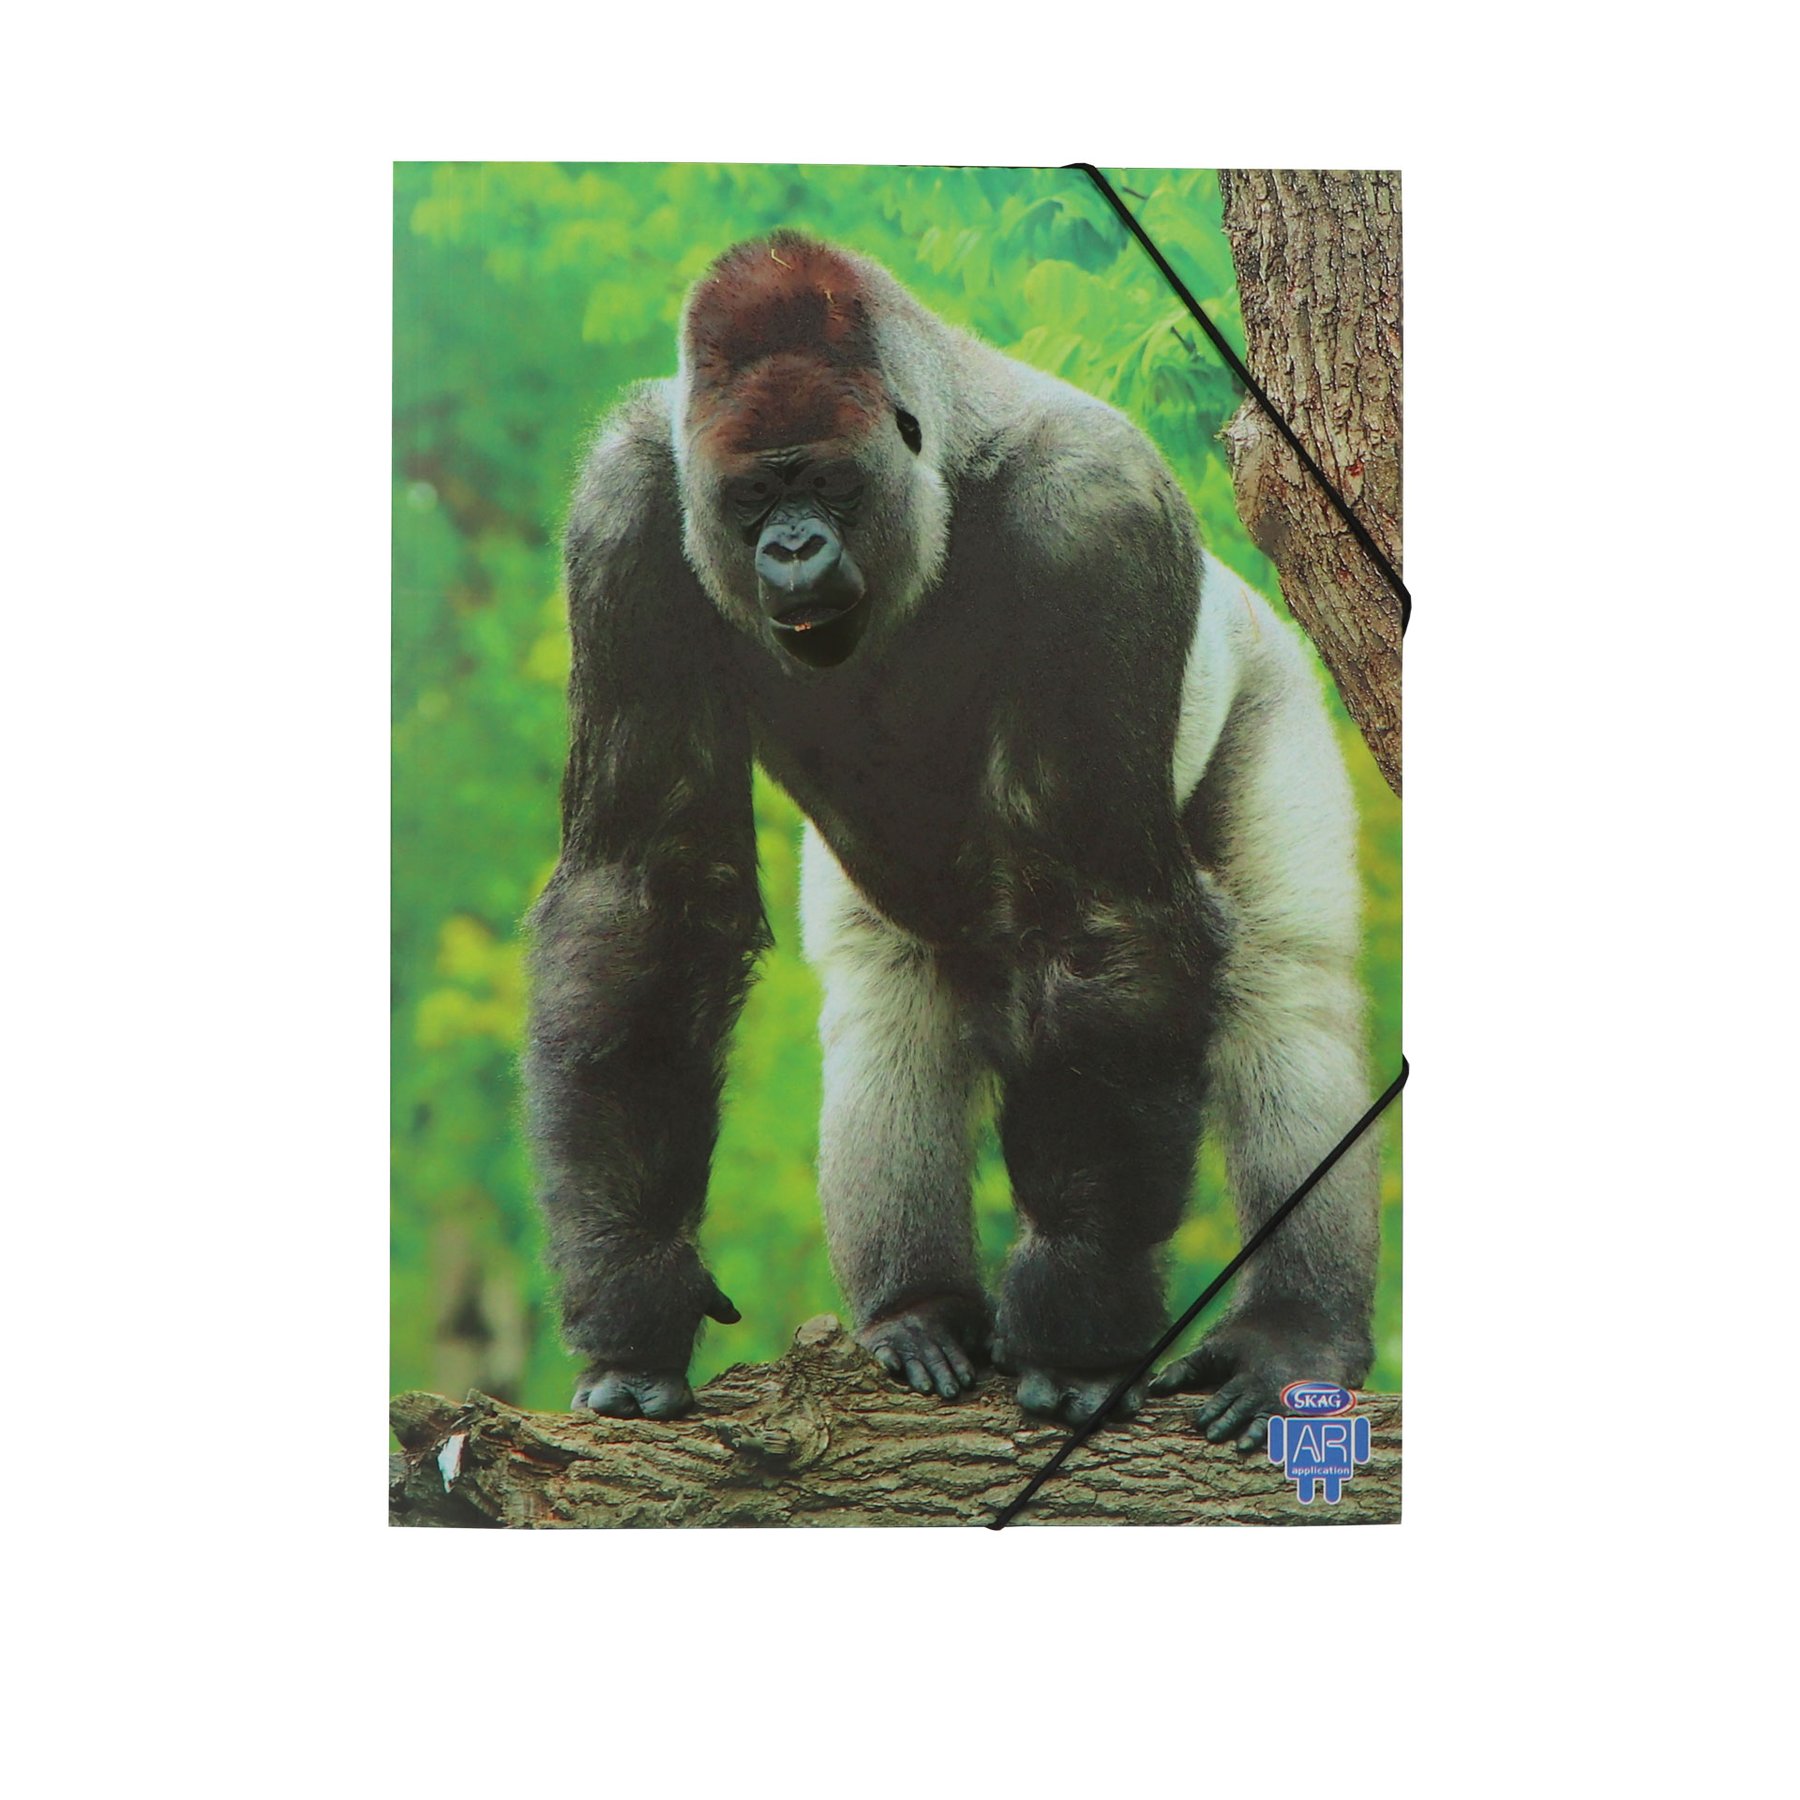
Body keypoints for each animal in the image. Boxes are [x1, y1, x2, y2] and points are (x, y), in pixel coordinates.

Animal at [525, 231, 1379, 1450]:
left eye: (831, 483)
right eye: (752, 497)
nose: (792, 549)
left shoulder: (1095, 518)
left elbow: (1099, 913)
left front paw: (1076, 1331)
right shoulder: (629, 505)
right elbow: (644, 900)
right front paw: (636, 1300)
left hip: (1265, 669)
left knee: (1285, 992)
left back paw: (1294, 1336)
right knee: (890, 1005)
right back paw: (915, 1311)